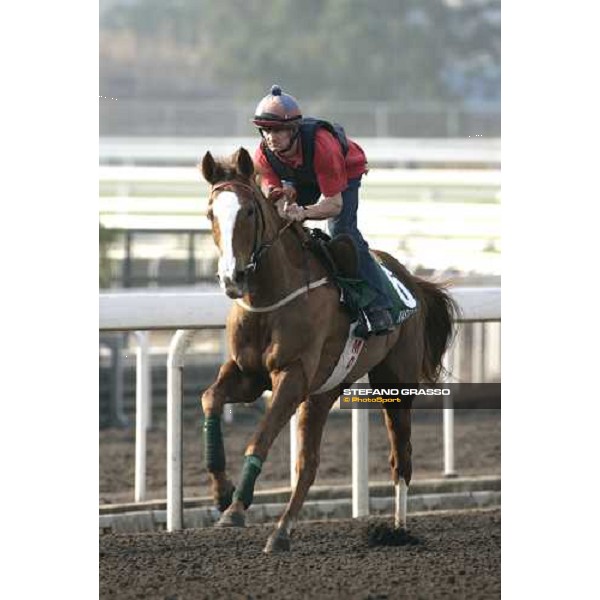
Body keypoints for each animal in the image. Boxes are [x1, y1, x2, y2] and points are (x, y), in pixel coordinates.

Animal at [199, 148, 452, 552]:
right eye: (211, 213)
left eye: (250, 211)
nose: (232, 278)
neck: (270, 297)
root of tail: (410, 278)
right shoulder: (248, 375)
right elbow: (210, 398)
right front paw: (223, 493)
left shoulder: (292, 376)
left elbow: (259, 439)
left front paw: (236, 509)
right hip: (325, 390)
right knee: (309, 464)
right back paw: (281, 532)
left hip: (394, 385)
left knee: (401, 457)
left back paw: (397, 530)